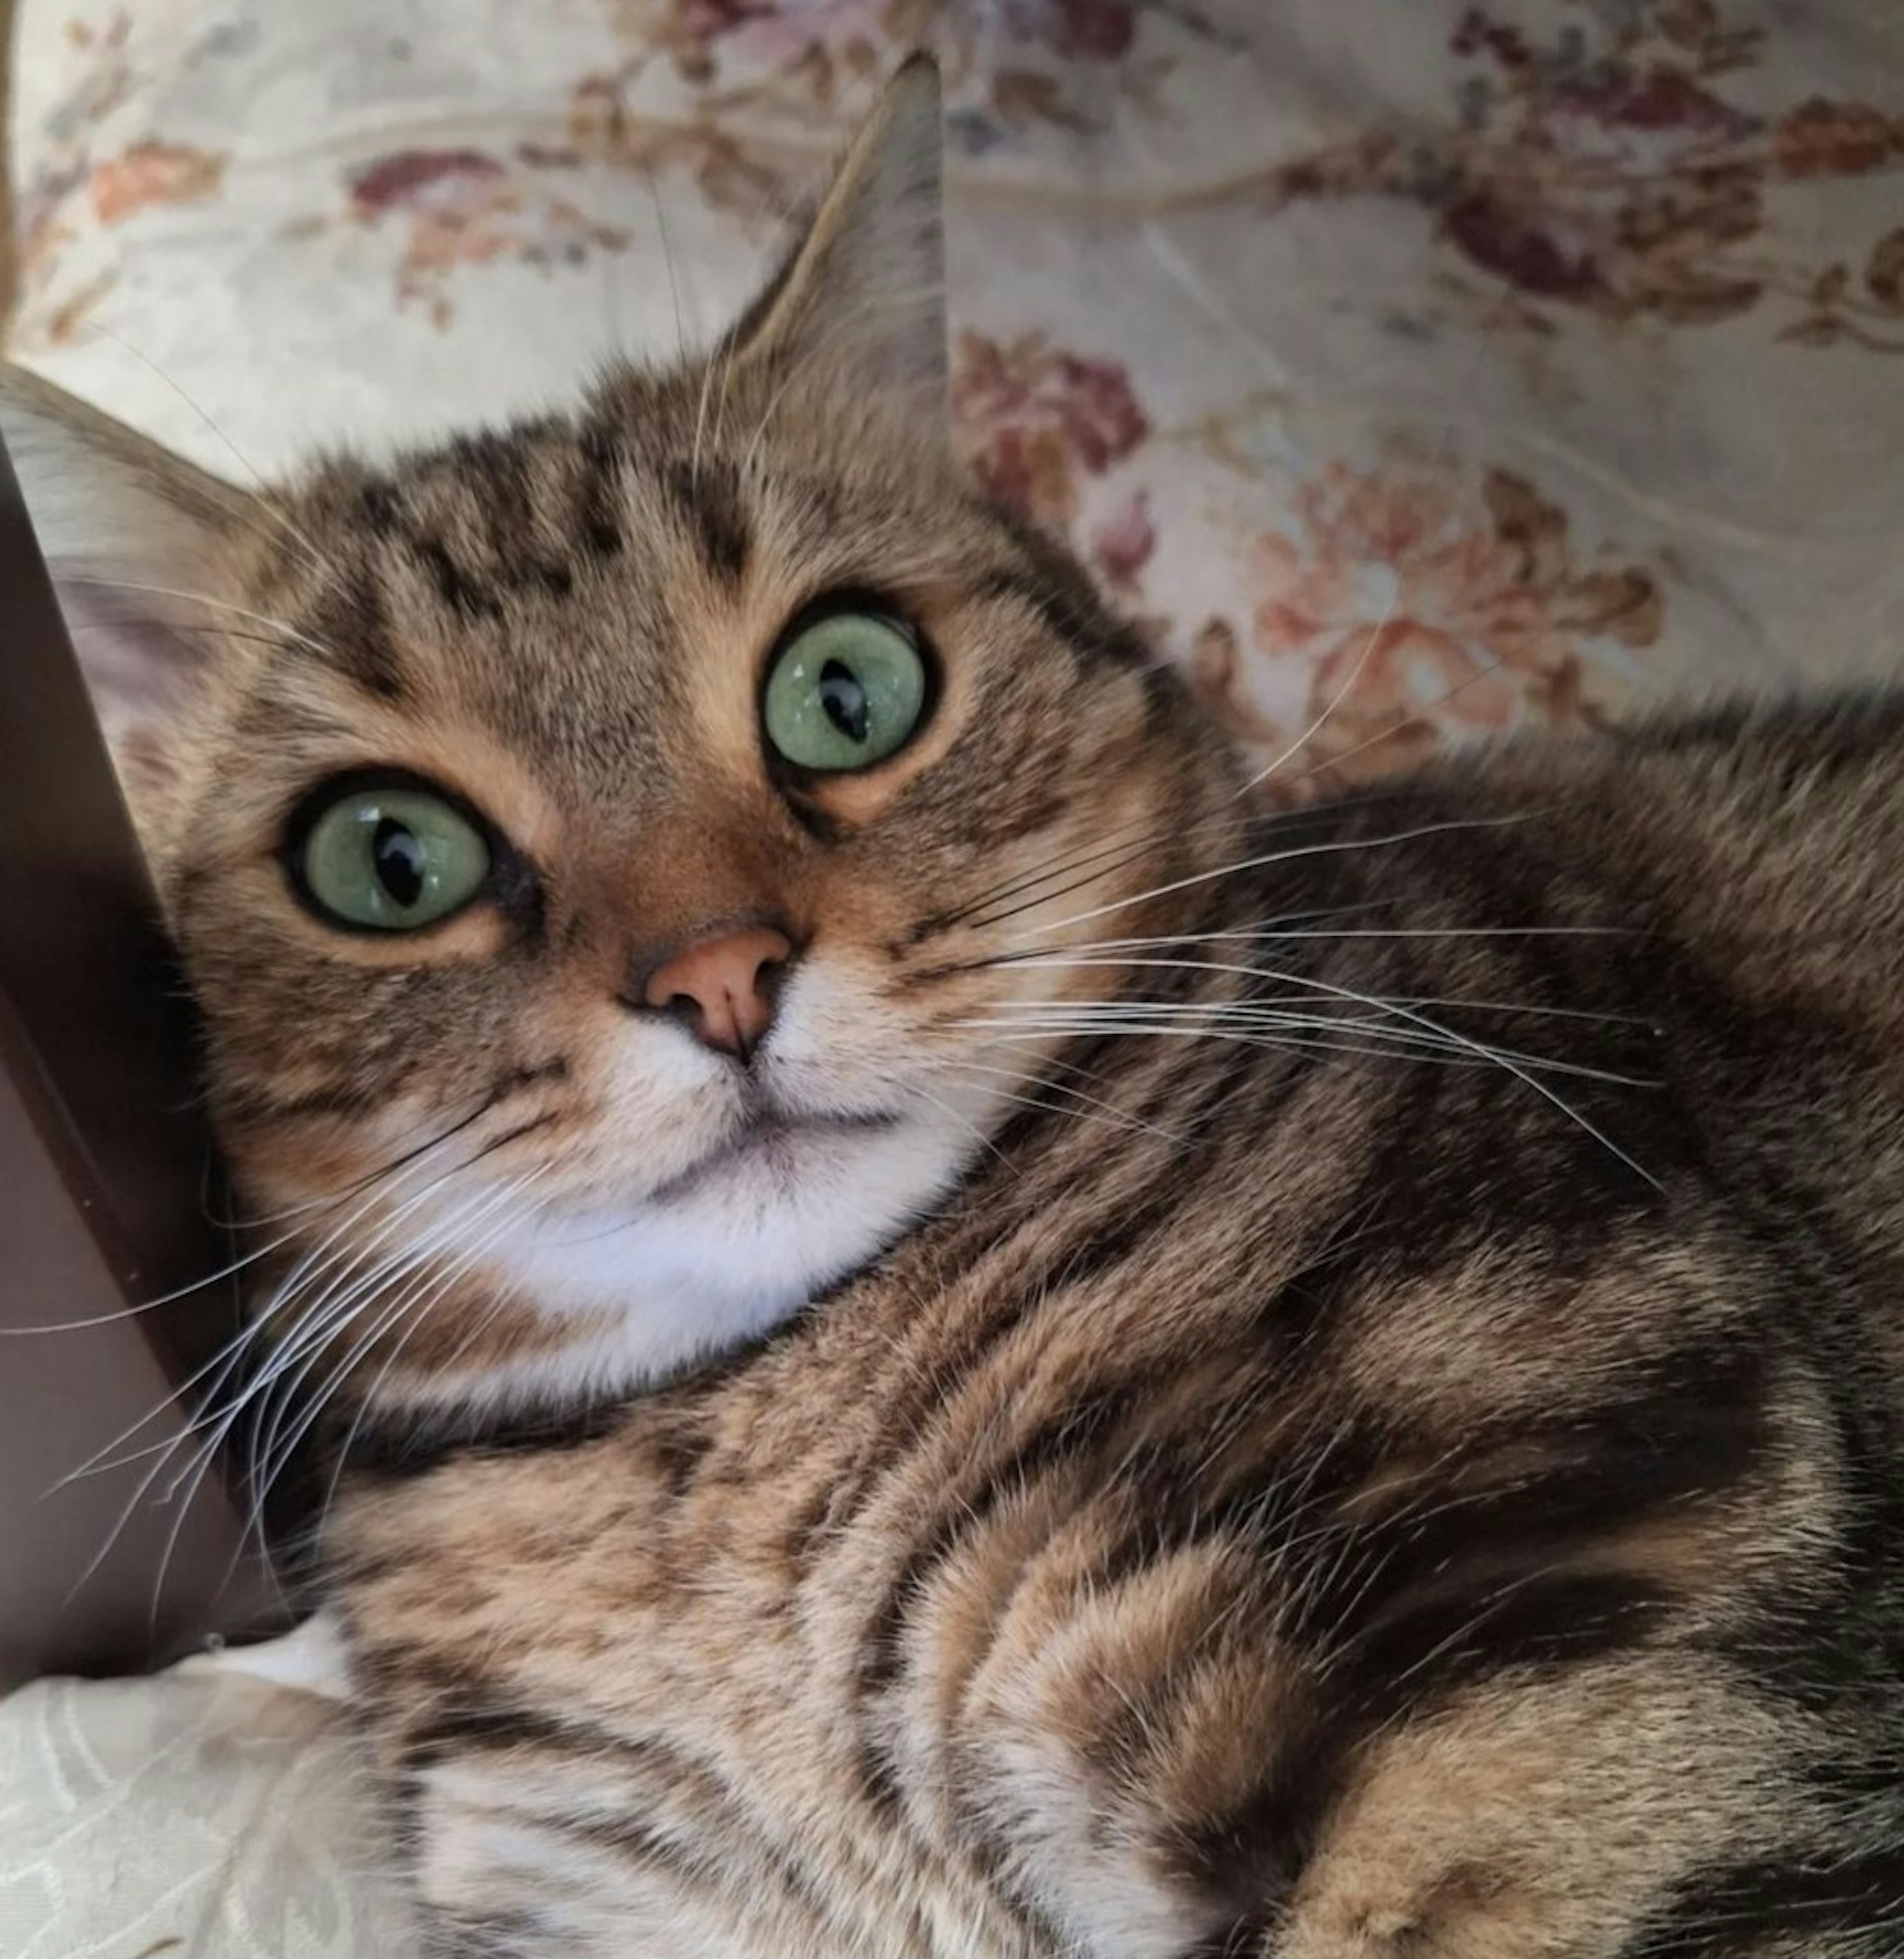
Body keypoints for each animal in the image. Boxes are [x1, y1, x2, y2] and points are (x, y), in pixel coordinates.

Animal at [3, 54, 1904, 1959]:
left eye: (847, 690)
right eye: (387, 859)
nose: (718, 973)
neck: (728, 1471)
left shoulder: (1560, 1600)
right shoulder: (598, 1882)